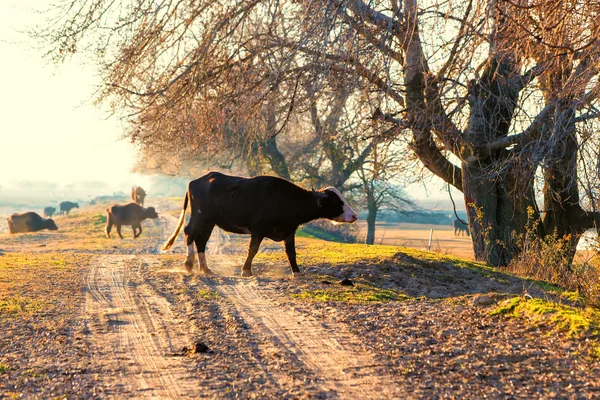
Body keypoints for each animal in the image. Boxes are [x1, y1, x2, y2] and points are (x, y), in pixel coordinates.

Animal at [162, 170, 356, 276]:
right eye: (337, 201)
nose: (354, 215)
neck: (288, 200)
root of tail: (196, 181)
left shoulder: (289, 232)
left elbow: (291, 253)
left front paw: (297, 272)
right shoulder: (257, 230)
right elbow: (253, 250)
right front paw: (246, 270)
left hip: (210, 222)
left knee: (201, 240)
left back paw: (205, 268)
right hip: (200, 216)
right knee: (189, 232)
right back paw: (189, 264)